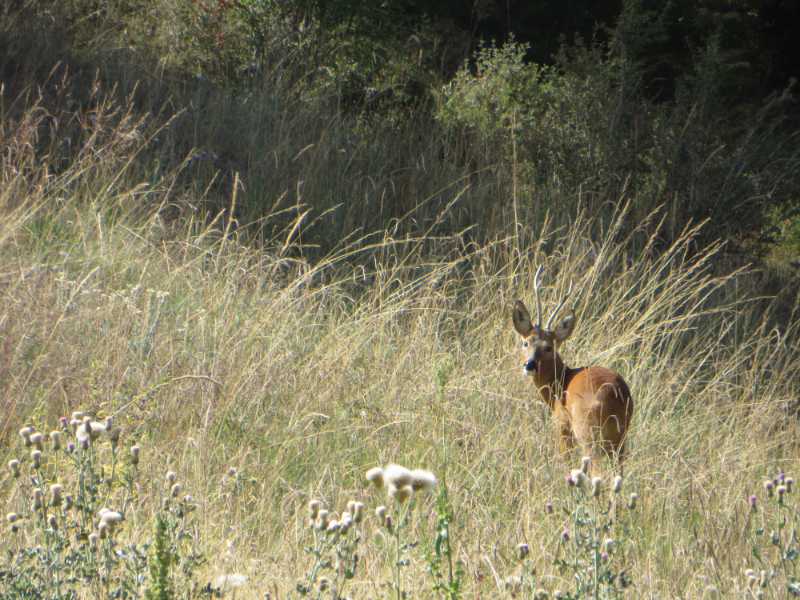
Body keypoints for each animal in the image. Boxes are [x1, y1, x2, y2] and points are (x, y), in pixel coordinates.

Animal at [516, 266, 636, 468]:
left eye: (549, 347)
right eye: (526, 343)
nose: (529, 364)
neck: (559, 384)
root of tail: (613, 397)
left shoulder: (562, 426)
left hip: (586, 429)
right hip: (620, 437)